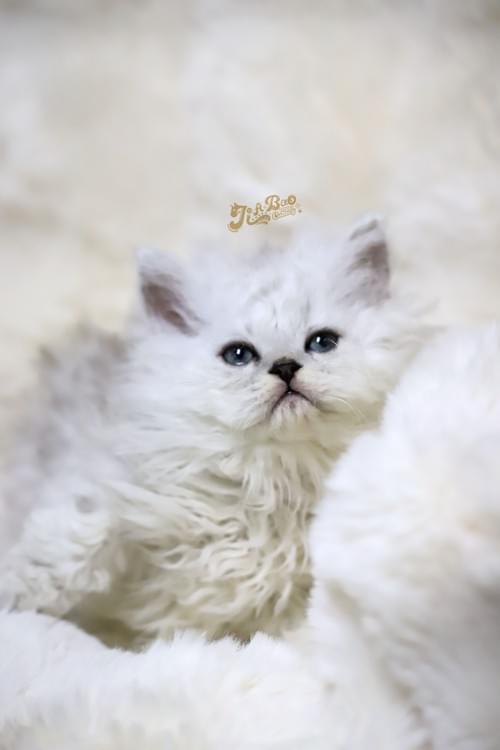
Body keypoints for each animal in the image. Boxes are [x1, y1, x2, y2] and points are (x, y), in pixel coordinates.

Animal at [0, 216, 426, 645]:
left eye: (322, 342)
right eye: (238, 355)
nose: (285, 367)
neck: (272, 479)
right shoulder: (109, 480)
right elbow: (84, 533)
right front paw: (21, 592)